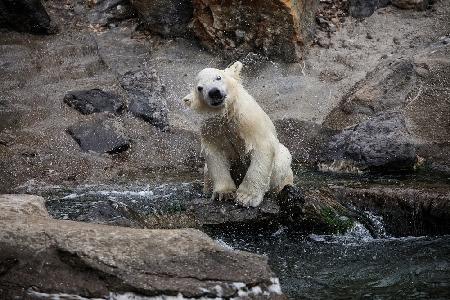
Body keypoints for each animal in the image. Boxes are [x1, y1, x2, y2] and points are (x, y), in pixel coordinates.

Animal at [184, 61, 294, 206]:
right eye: (200, 88)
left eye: (218, 77)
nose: (214, 92)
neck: (226, 114)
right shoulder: (212, 129)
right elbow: (215, 156)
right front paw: (224, 193)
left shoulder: (248, 120)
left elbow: (261, 149)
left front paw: (246, 197)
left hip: (280, 166)